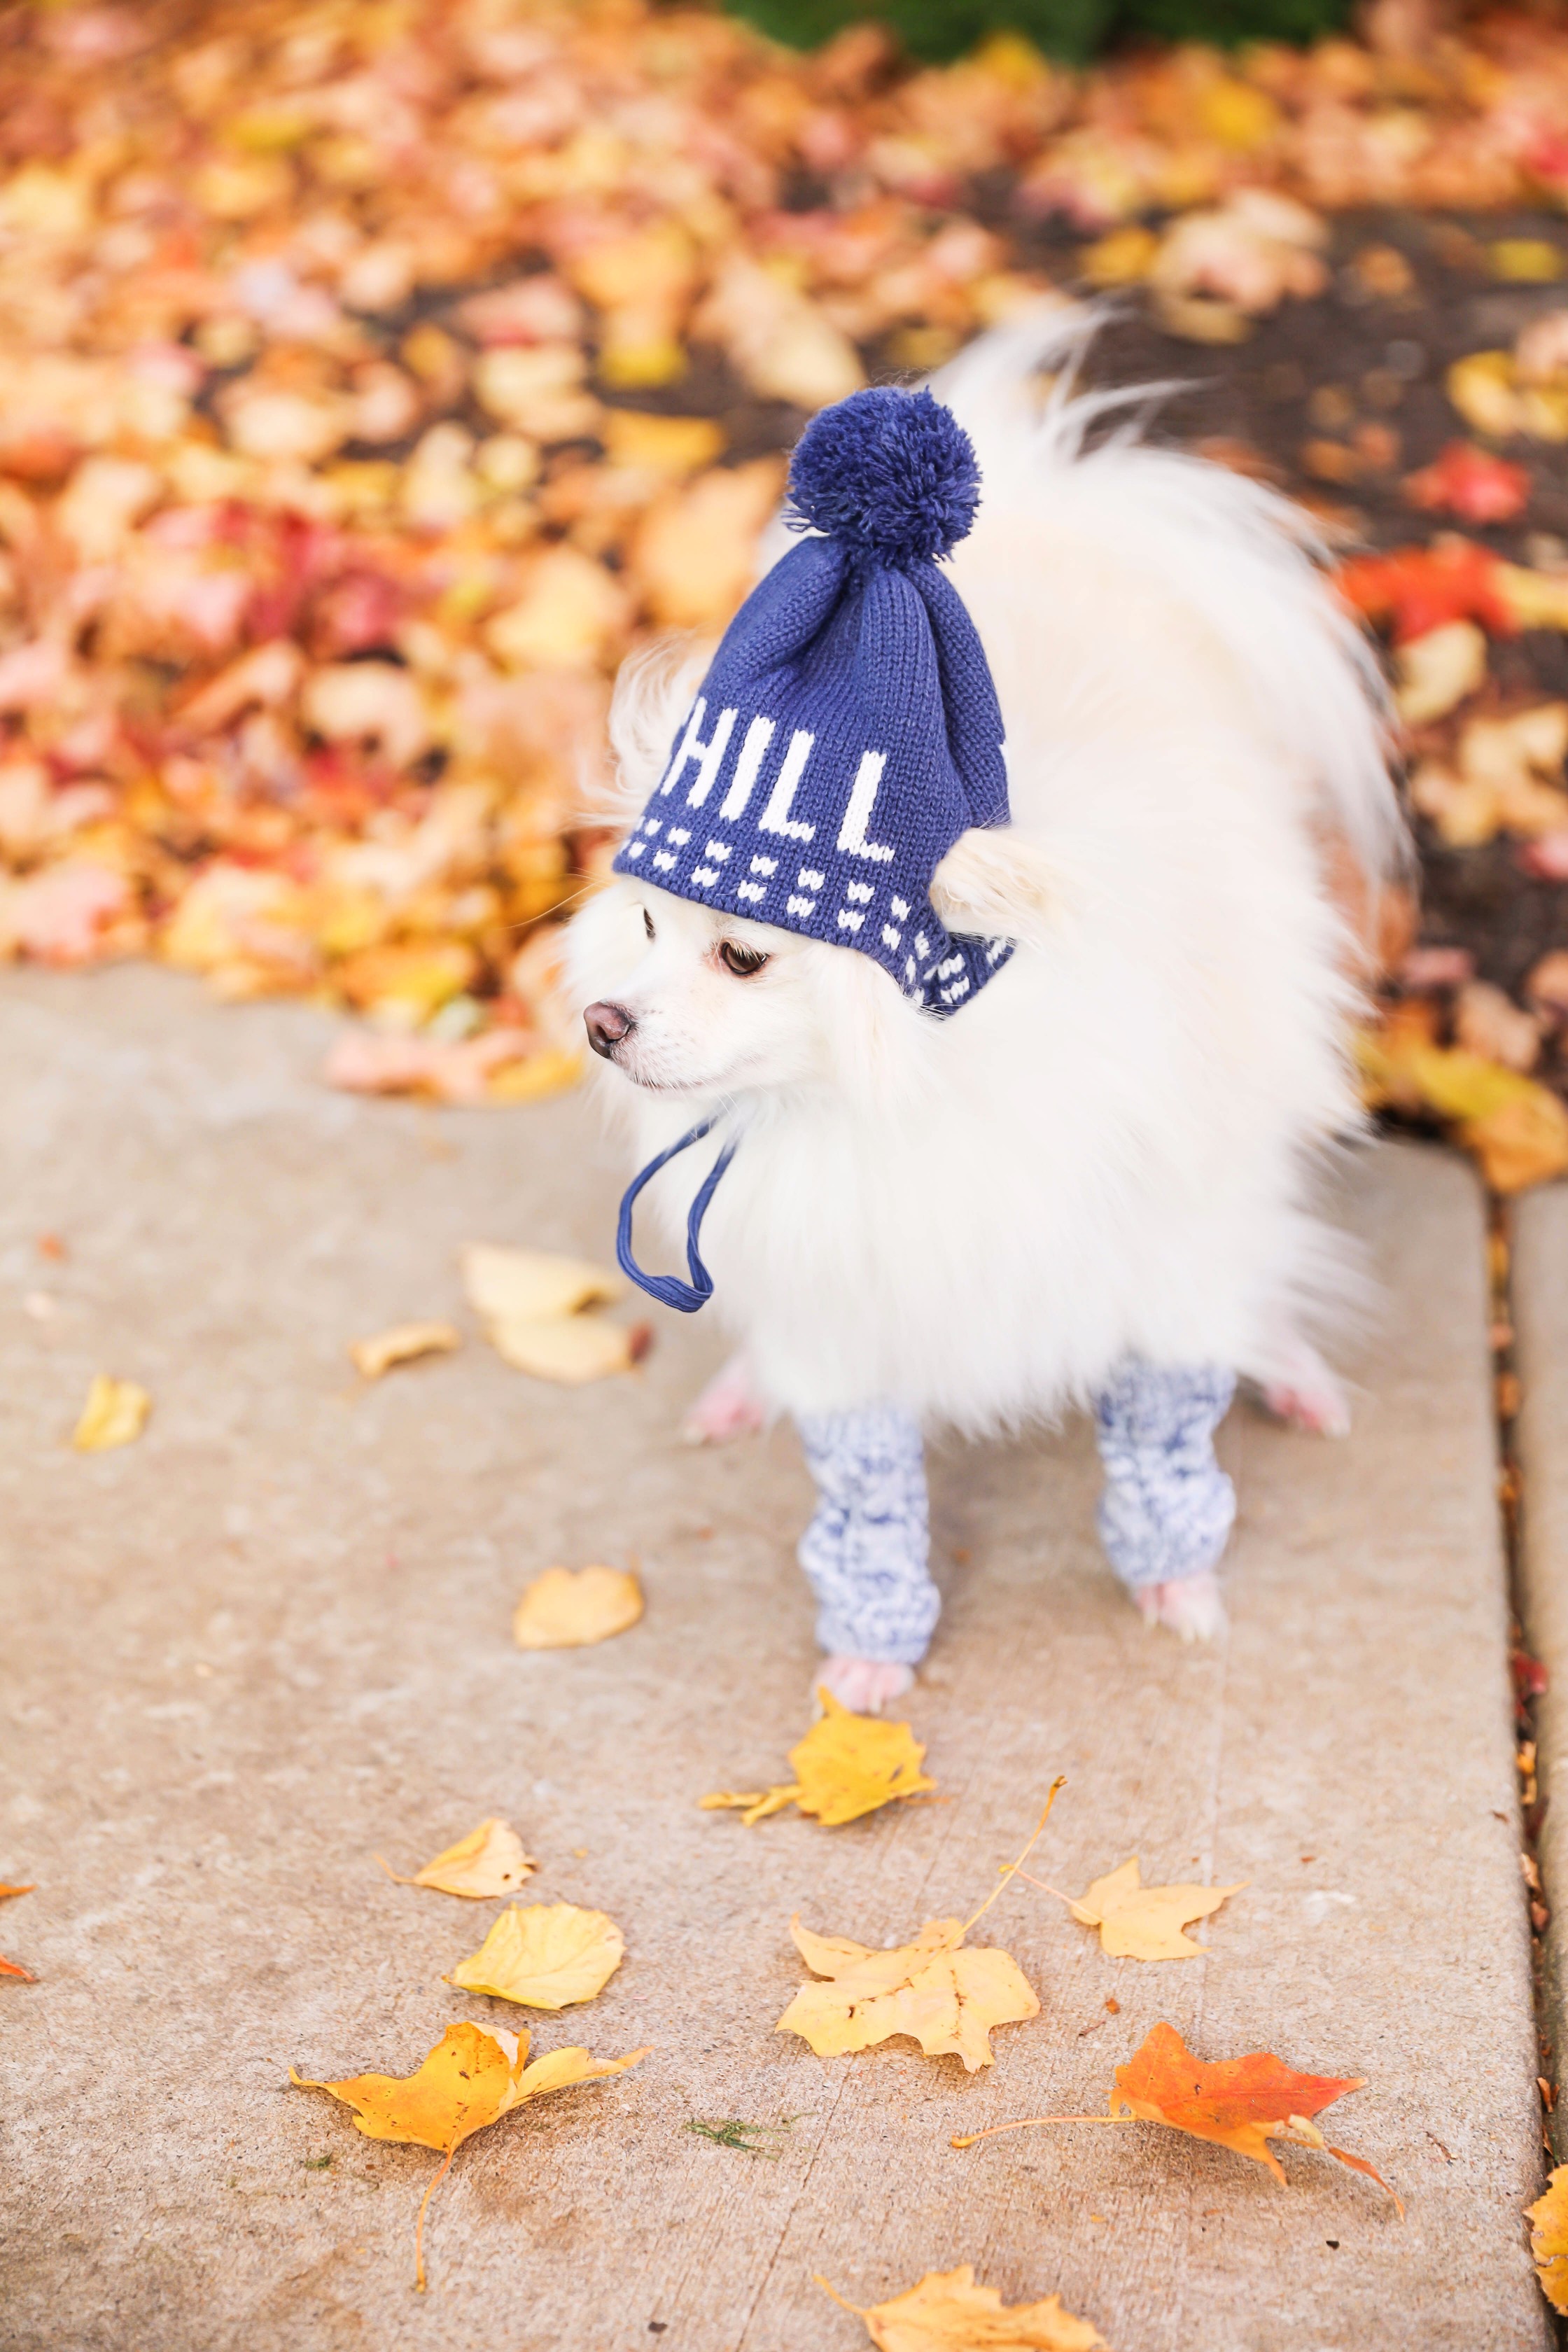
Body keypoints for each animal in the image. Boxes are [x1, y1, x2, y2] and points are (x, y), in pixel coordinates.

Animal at [571, 308, 1401, 1712]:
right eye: (639, 930)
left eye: (741, 957)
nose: (602, 1024)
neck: (902, 1104)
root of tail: (1064, 503)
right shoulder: (844, 1307)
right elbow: (864, 1492)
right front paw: (866, 1657)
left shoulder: (1163, 1267)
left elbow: (1168, 1431)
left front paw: (1176, 1582)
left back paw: (1286, 1365)